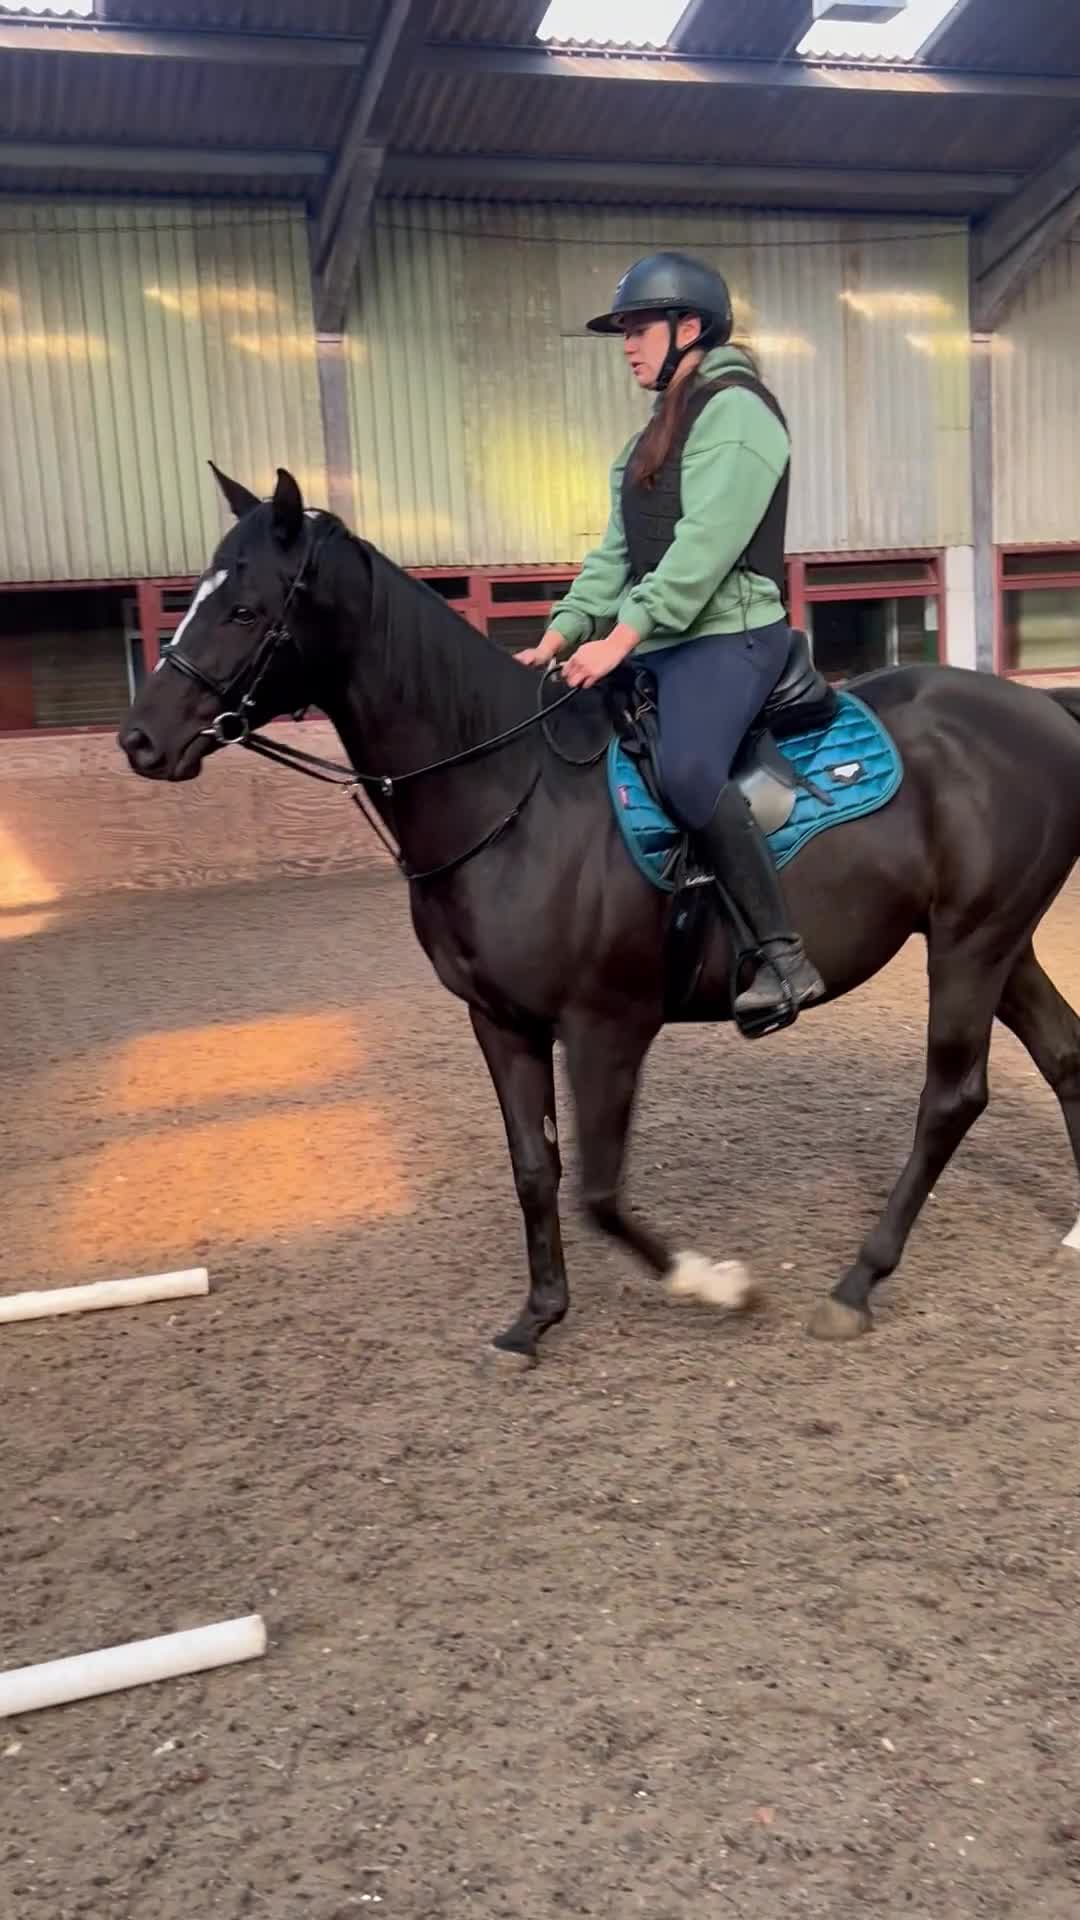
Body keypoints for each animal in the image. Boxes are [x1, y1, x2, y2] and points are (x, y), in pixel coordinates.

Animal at [119, 466, 1080, 1362]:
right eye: (192, 595)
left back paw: (856, 1283)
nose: (140, 740)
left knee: (951, 1097)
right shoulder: (500, 1021)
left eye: (245, 609)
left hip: (970, 943)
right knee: (1064, 1056)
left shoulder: (606, 1024)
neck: (509, 794)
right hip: (999, 944)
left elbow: (599, 1189)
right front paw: (537, 1315)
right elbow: (535, 1168)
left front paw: (714, 1283)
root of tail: (1042, 706)